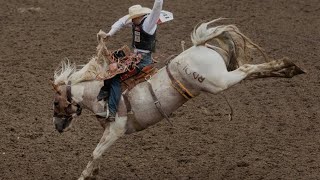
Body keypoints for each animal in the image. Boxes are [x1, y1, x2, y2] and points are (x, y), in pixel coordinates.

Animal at [51, 19, 304, 179]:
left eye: (55, 102)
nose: (57, 126)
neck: (97, 92)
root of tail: (199, 46)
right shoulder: (108, 131)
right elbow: (98, 155)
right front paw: (93, 173)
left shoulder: (116, 129)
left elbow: (95, 152)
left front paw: (83, 176)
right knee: (253, 71)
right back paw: (288, 68)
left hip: (219, 82)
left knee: (248, 69)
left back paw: (286, 65)